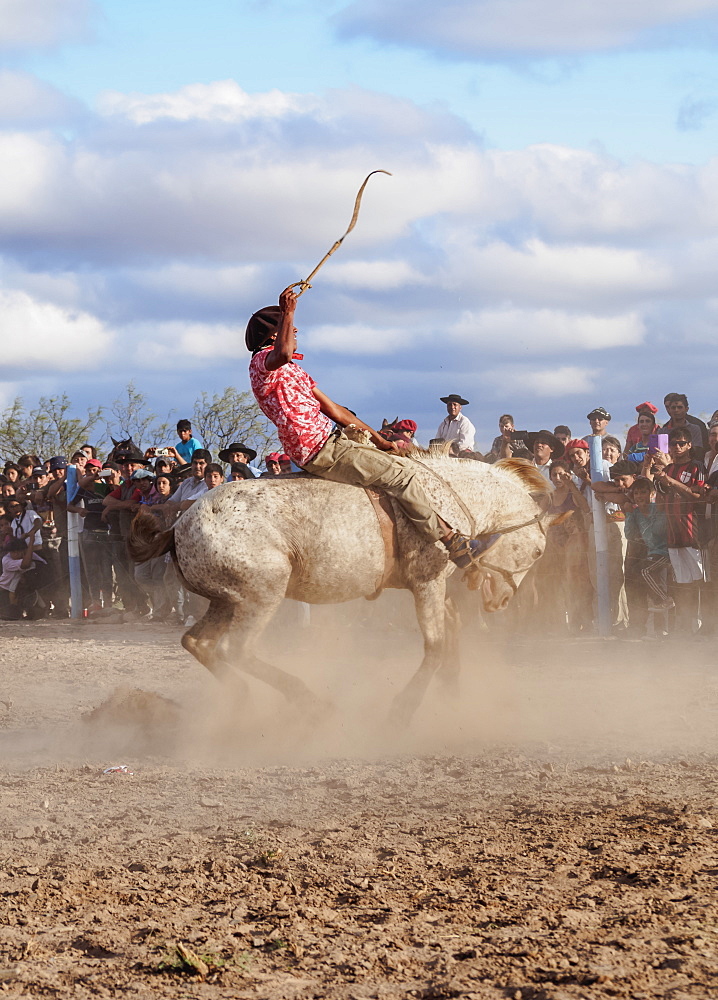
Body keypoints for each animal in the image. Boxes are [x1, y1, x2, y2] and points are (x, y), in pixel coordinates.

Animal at [131, 456, 568, 728]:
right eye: (538, 551)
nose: (502, 601)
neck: (440, 499)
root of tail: (179, 524)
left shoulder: (437, 586)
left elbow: (452, 631)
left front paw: (452, 693)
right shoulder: (427, 582)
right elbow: (436, 645)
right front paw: (403, 710)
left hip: (226, 601)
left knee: (199, 644)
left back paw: (241, 701)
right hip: (261, 596)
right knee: (236, 650)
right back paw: (312, 703)